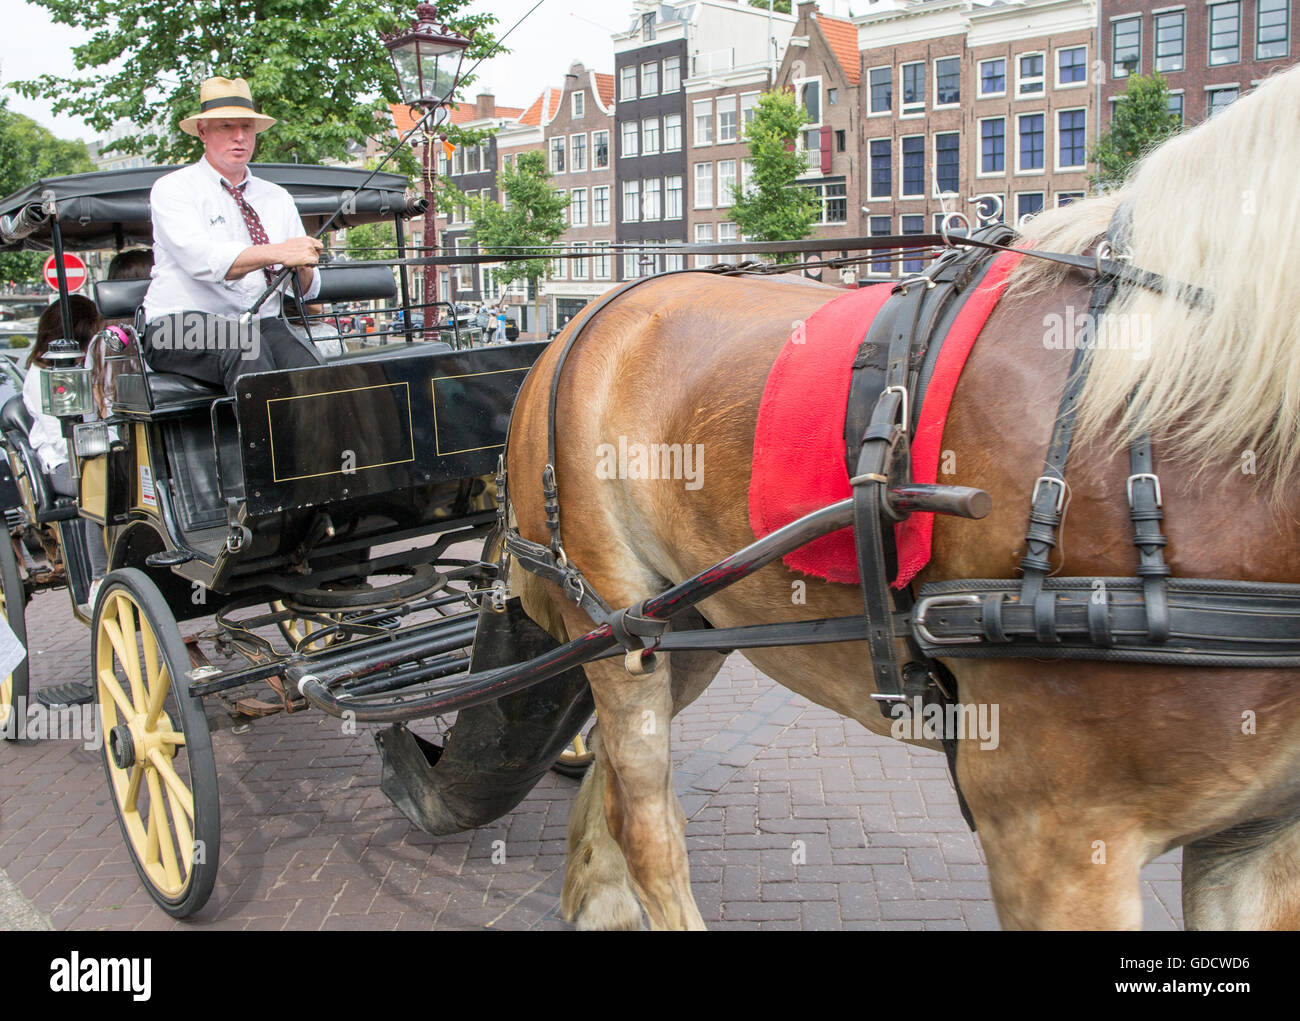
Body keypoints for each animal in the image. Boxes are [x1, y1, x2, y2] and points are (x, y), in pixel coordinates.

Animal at [504, 65, 1300, 930]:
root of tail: (583, 317)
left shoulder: (1261, 833)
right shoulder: (1053, 830)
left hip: (683, 625)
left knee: (615, 797)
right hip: (613, 628)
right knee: (648, 823)